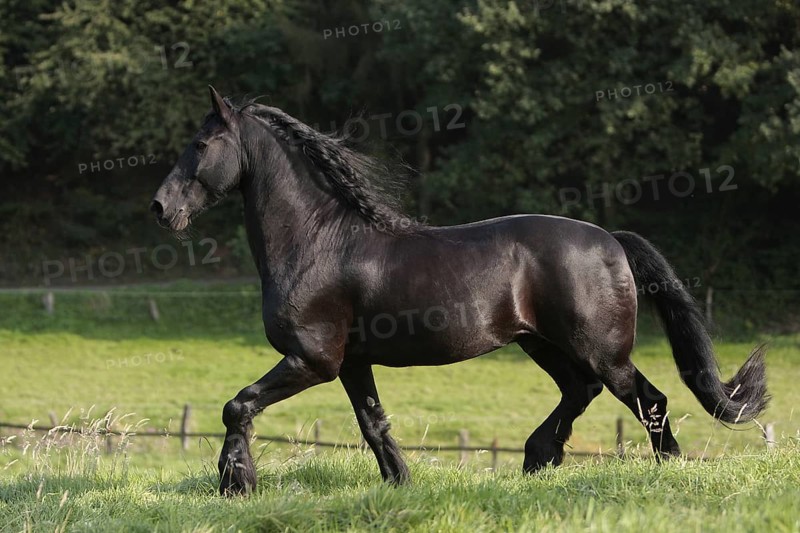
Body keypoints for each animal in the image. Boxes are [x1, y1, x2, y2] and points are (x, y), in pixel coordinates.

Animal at [151, 86, 768, 496]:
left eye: (202, 143)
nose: (161, 208)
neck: (318, 241)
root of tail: (611, 240)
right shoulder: (350, 363)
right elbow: (373, 425)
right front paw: (399, 485)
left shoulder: (312, 360)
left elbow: (237, 406)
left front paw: (236, 482)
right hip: (542, 343)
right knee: (581, 391)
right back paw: (537, 460)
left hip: (601, 350)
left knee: (648, 399)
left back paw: (669, 471)